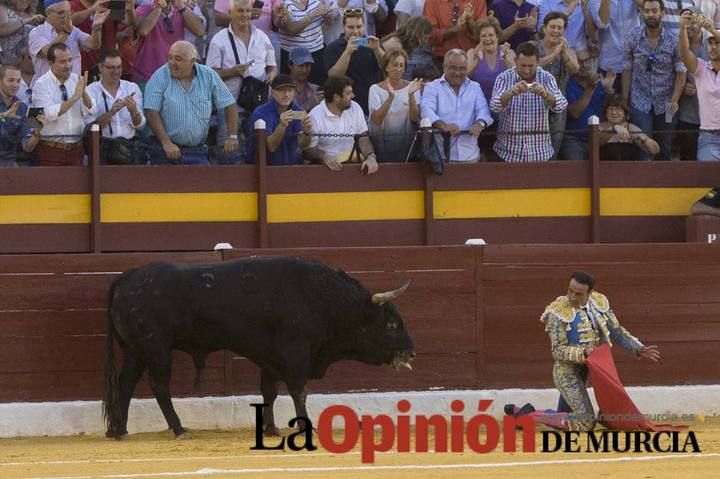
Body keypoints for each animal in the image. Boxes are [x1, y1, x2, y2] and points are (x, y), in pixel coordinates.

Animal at [103, 258, 414, 438]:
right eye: (390, 324)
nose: (411, 352)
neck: (320, 298)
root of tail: (128, 276)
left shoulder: (270, 357)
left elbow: (269, 392)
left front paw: (271, 428)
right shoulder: (295, 354)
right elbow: (298, 391)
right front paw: (305, 427)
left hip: (135, 349)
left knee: (126, 382)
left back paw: (121, 430)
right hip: (156, 348)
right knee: (159, 384)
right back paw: (178, 428)